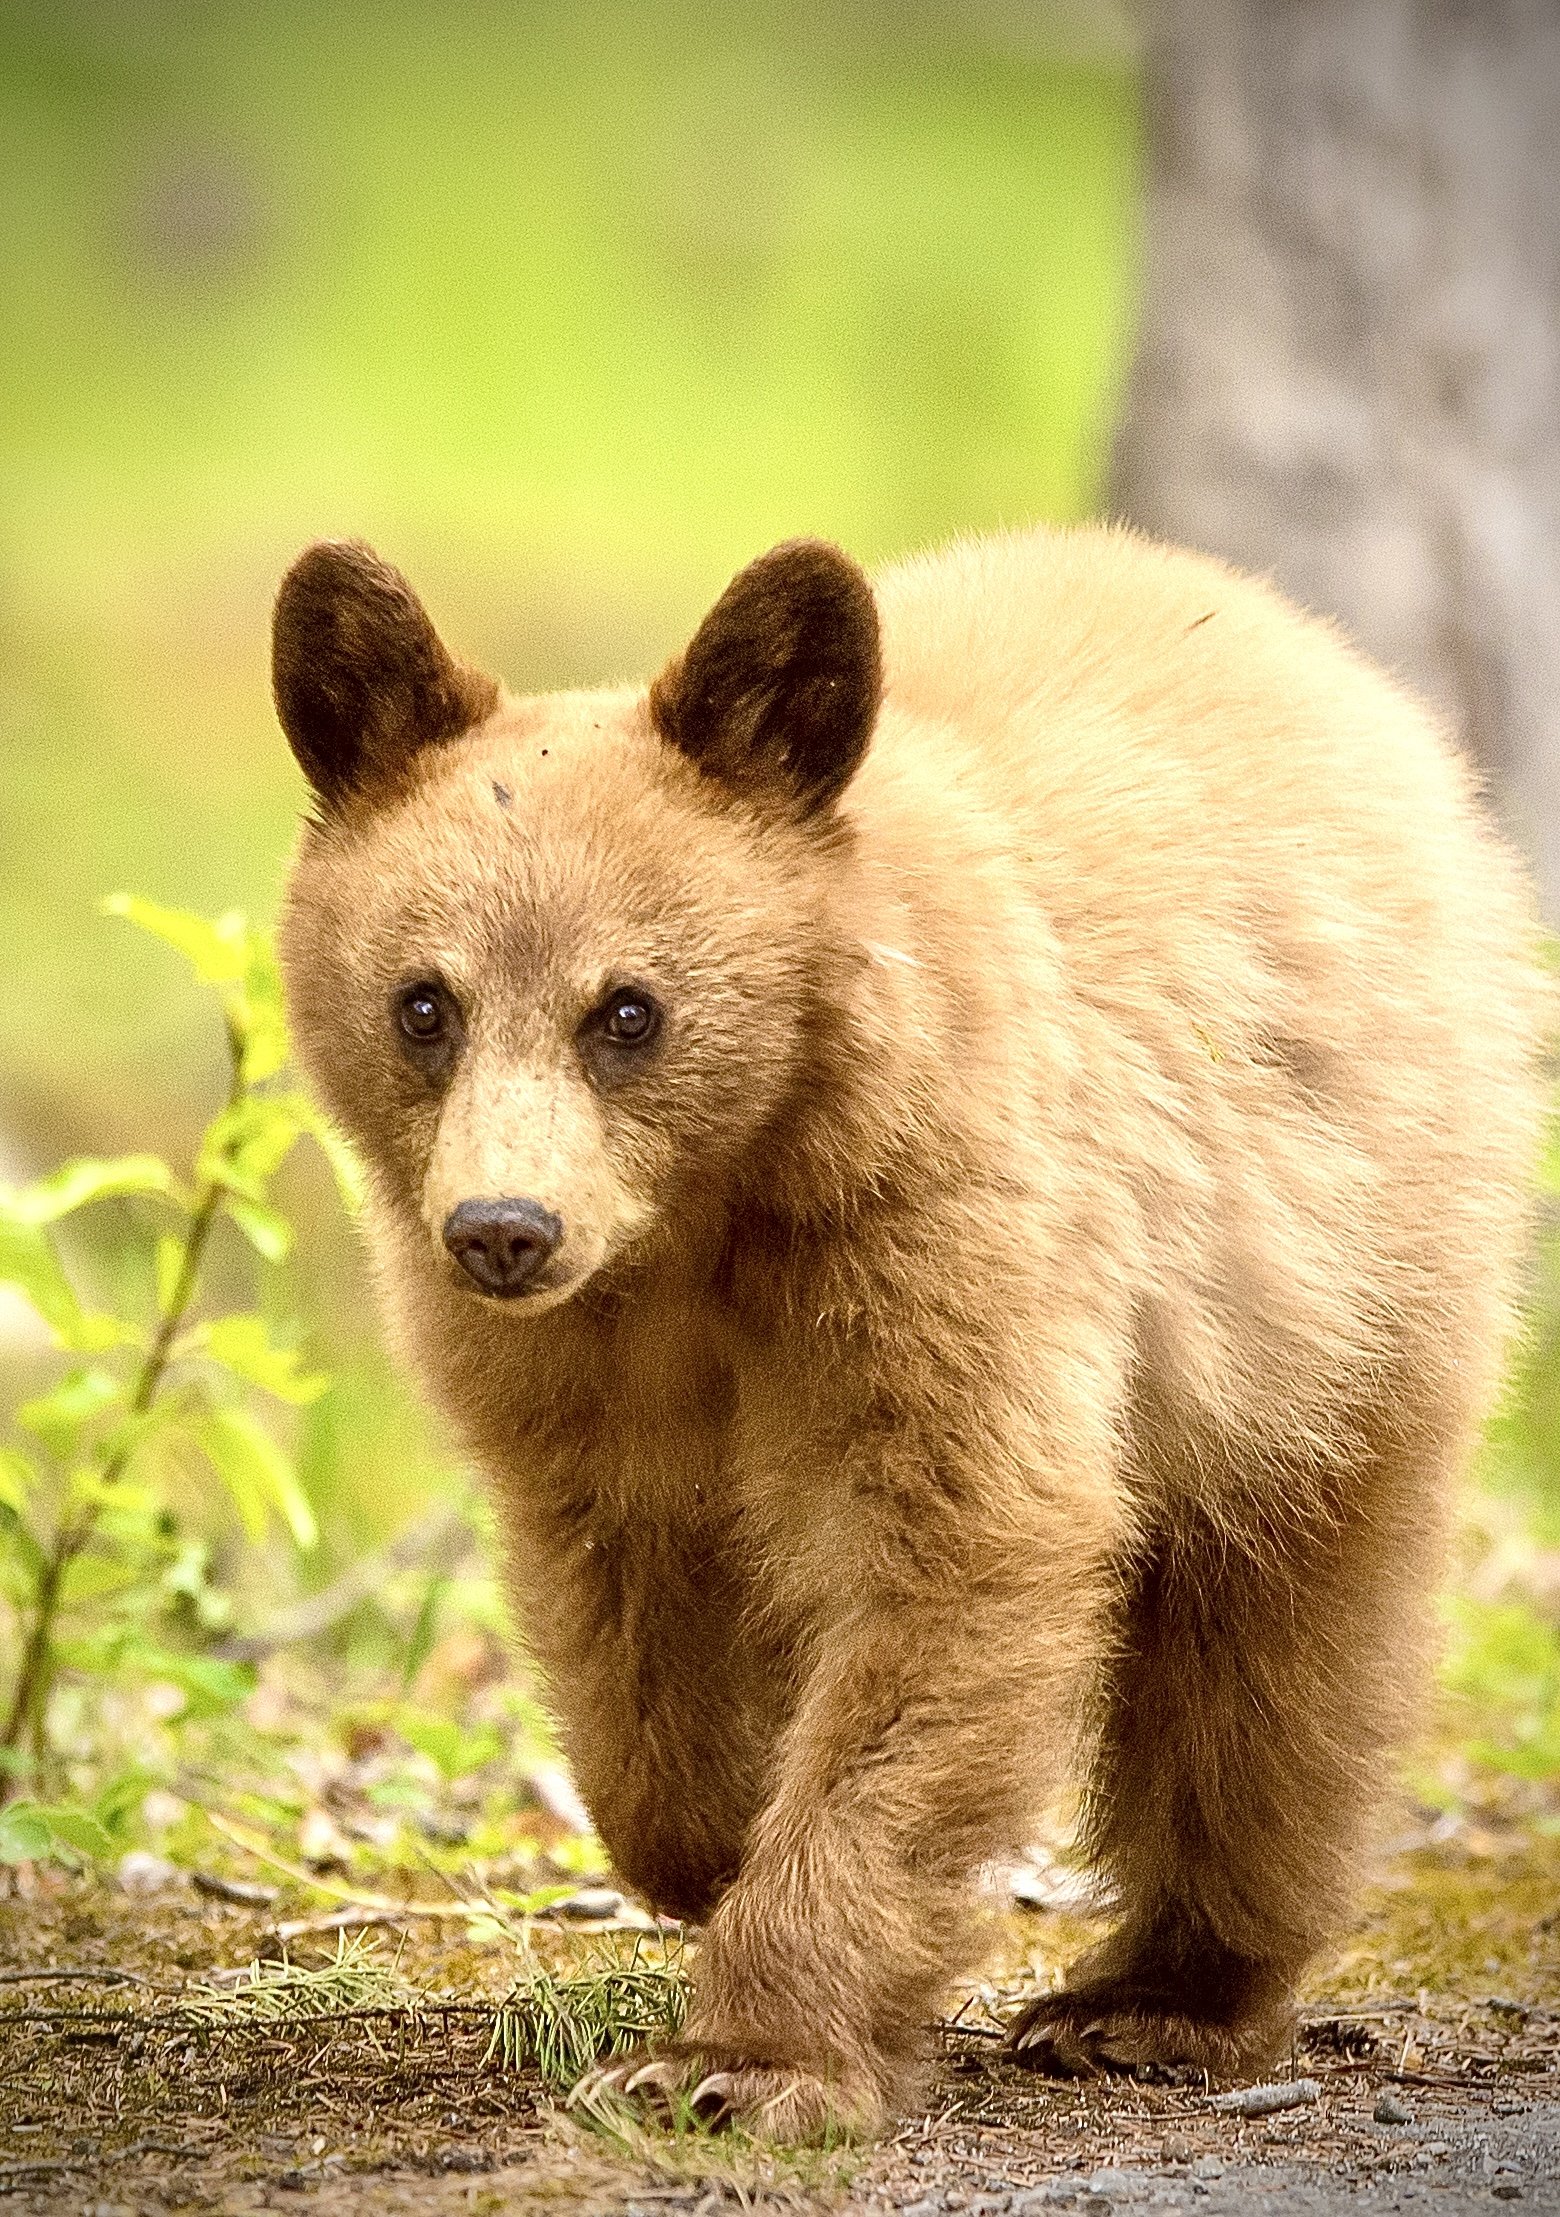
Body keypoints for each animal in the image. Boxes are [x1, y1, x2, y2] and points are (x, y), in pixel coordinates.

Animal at [273, 525, 1546, 2142]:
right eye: (422, 1003)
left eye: (629, 1010)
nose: (505, 1228)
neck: (709, 1215)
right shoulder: (574, 1371)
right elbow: (629, 1611)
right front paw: (719, 1829)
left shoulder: (943, 1227)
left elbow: (961, 1551)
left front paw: (744, 2058)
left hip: (1345, 1272)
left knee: (1277, 1649)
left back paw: (1157, 1997)